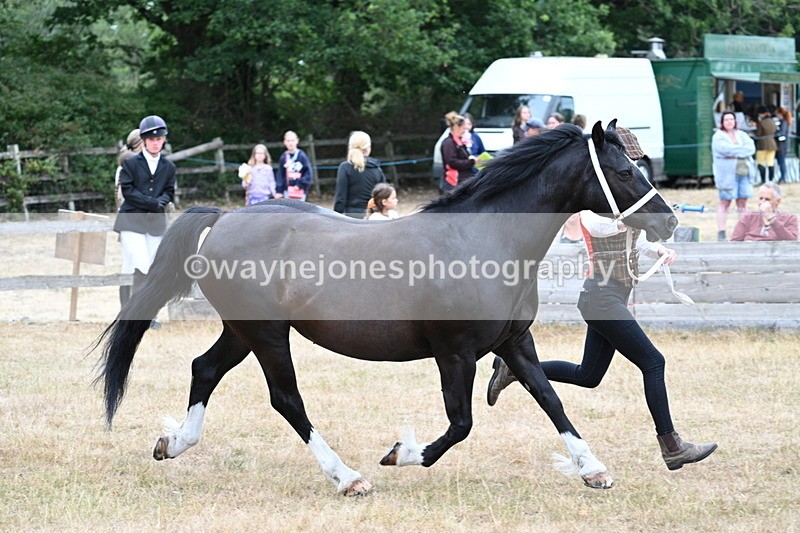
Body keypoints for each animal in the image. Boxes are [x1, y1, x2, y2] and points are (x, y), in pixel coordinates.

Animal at [94, 121, 677, 496]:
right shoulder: (455, 353)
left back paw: (174, 442)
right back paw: (349, 478)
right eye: (624, 171)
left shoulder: (514, 342)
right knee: (286, 399)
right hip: (268, 336)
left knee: (205, 369)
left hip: (243, 331)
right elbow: (462, 423)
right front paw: (402, 453)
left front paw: (593, 469)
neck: (483, 239)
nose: (669, 221)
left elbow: (551, 400)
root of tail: (225, 218)